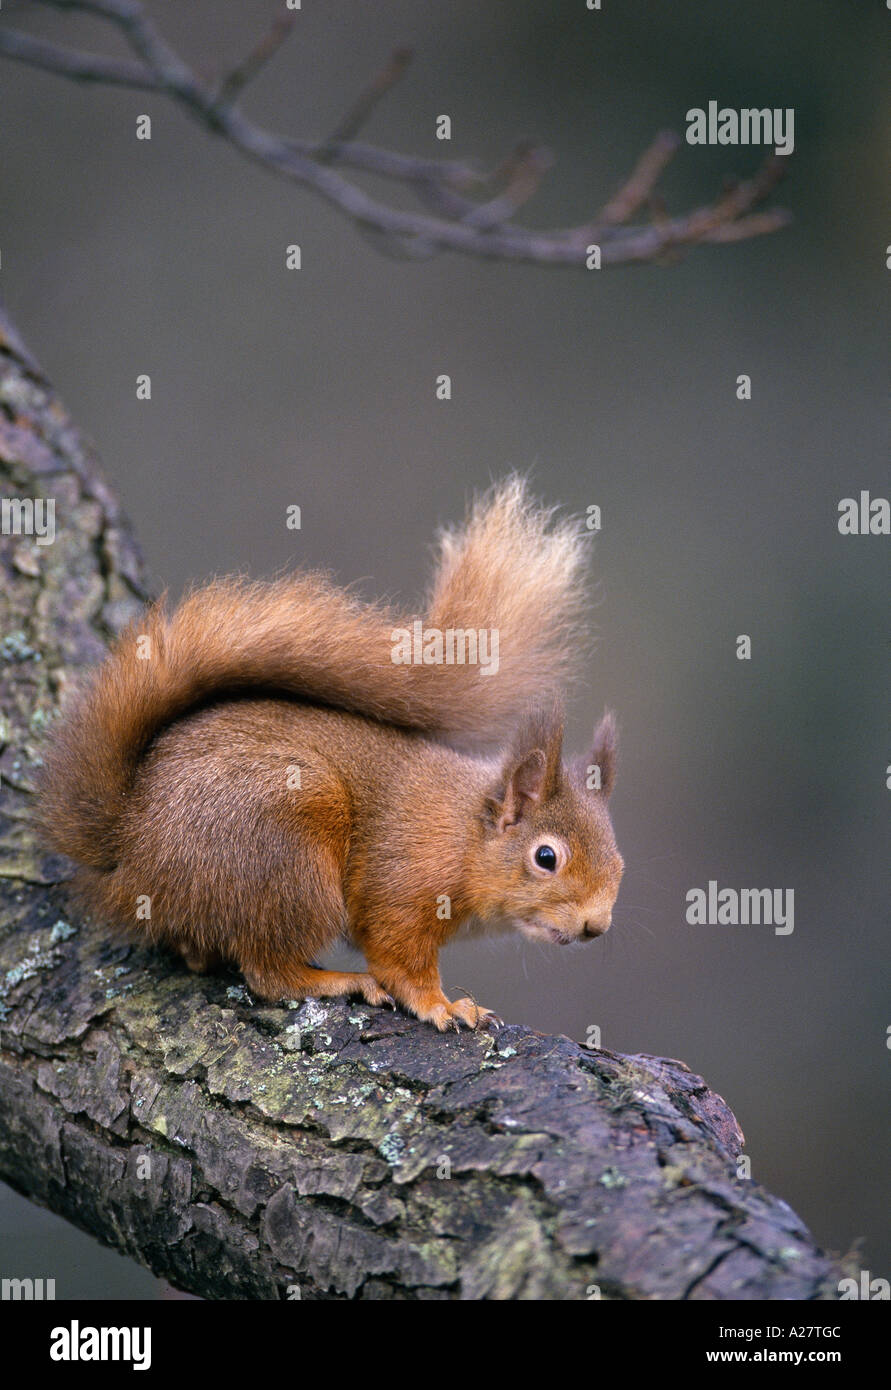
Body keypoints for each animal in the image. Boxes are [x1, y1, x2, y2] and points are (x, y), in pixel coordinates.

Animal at [38, 483, 622, 1028]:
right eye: (546, 858)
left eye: (620, 863)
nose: (596, 928)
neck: (464, 835)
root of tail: (129, 843)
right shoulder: (403, 886)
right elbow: (398, 956)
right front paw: (444, 1005)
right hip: (288, 849)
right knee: (270, 973)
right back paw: (340, 980)